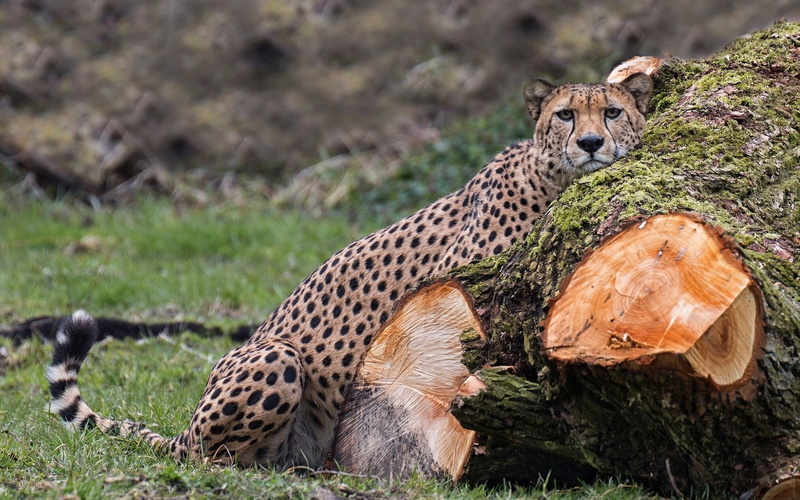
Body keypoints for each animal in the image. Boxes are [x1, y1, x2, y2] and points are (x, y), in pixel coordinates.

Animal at [46, 71, 652, 470]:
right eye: (566, 114)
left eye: (613, 112)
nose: (591, 143)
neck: (550, 178)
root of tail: (185, 430)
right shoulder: (458, 283)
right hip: (275, 358)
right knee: (214, 459)